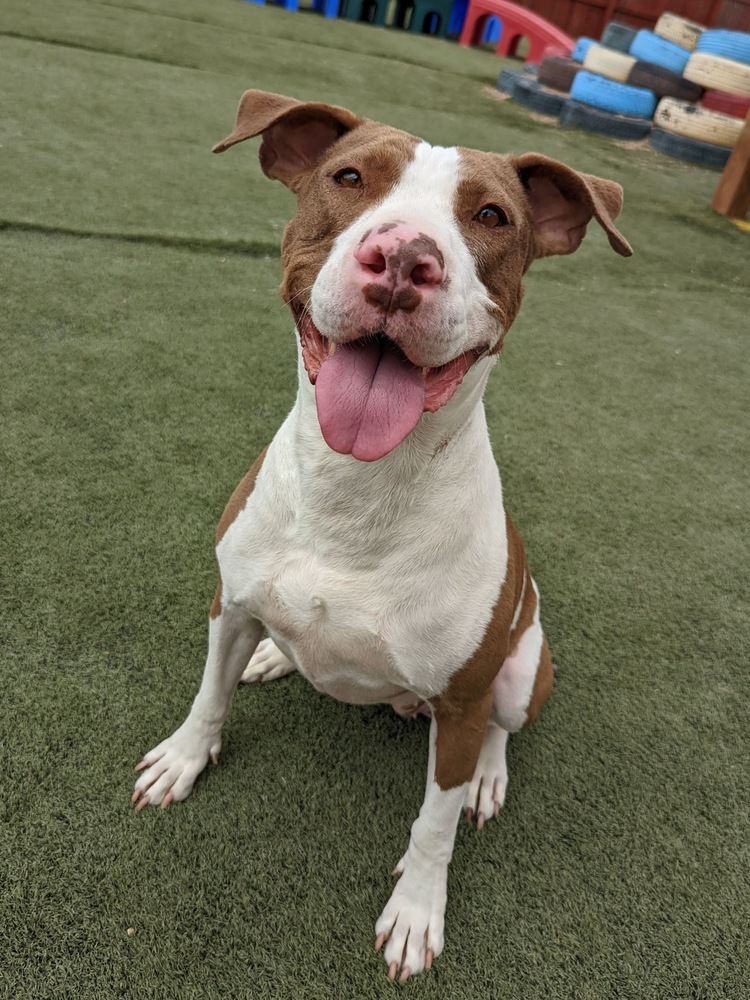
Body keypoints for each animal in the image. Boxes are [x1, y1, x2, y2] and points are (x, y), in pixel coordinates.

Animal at [132, 90, 632, 980]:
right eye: (349, 177)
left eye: (493, 216)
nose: (403, 259)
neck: (355, 497)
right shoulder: (230, 601)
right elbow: (208, 695)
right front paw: (184, 759)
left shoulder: (463, 702)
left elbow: (432, 826)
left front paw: (416, 913)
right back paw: (275, 657)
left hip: (522, 669)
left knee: (504, 728)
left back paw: (487, 782)